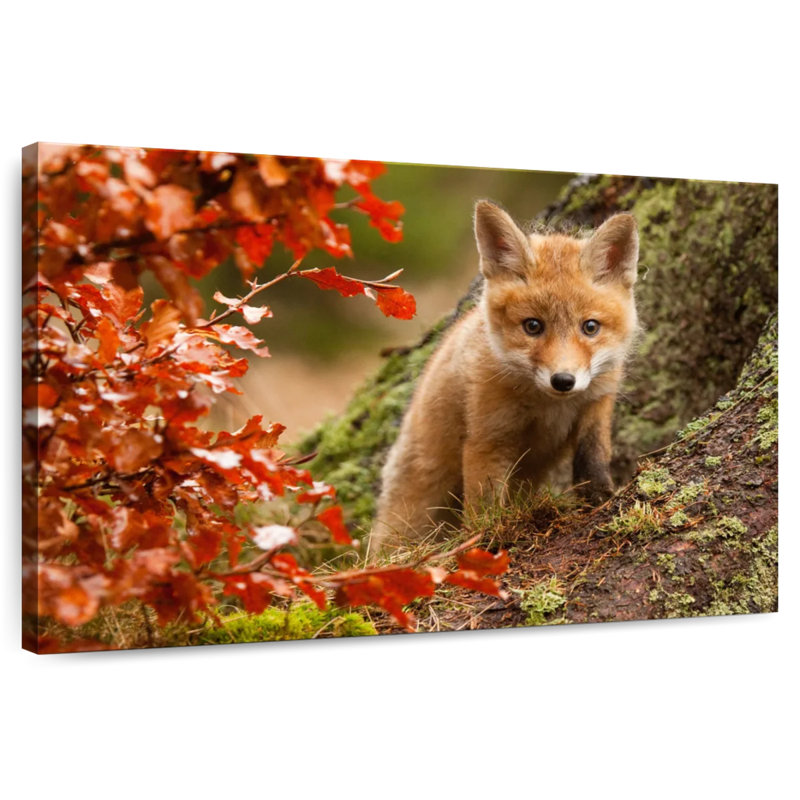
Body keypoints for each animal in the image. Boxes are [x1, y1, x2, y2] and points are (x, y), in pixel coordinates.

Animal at [370, 200, 640, 556]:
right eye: (533, 326)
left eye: (590, 327)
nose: (563, 380)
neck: (549, 407)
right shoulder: (488, 437)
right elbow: (484, 505)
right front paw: (486, 540)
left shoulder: (596, 406)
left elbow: (593, 458)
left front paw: (601, 497)